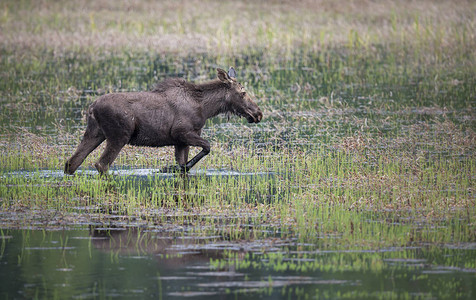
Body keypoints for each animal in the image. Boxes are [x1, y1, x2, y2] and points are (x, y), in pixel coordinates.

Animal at [63, 67, 262, 175]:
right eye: (243, 92)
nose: (258, 113)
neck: (205, 108)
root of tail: (92, 108)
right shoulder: (182, 132)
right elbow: (207, 147)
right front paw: (166, 168)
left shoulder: (181, 141)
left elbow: (184, 163)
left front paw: (173, 168)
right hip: (119, 135)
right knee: (101, 164)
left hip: (95, 133)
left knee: (72, 162)